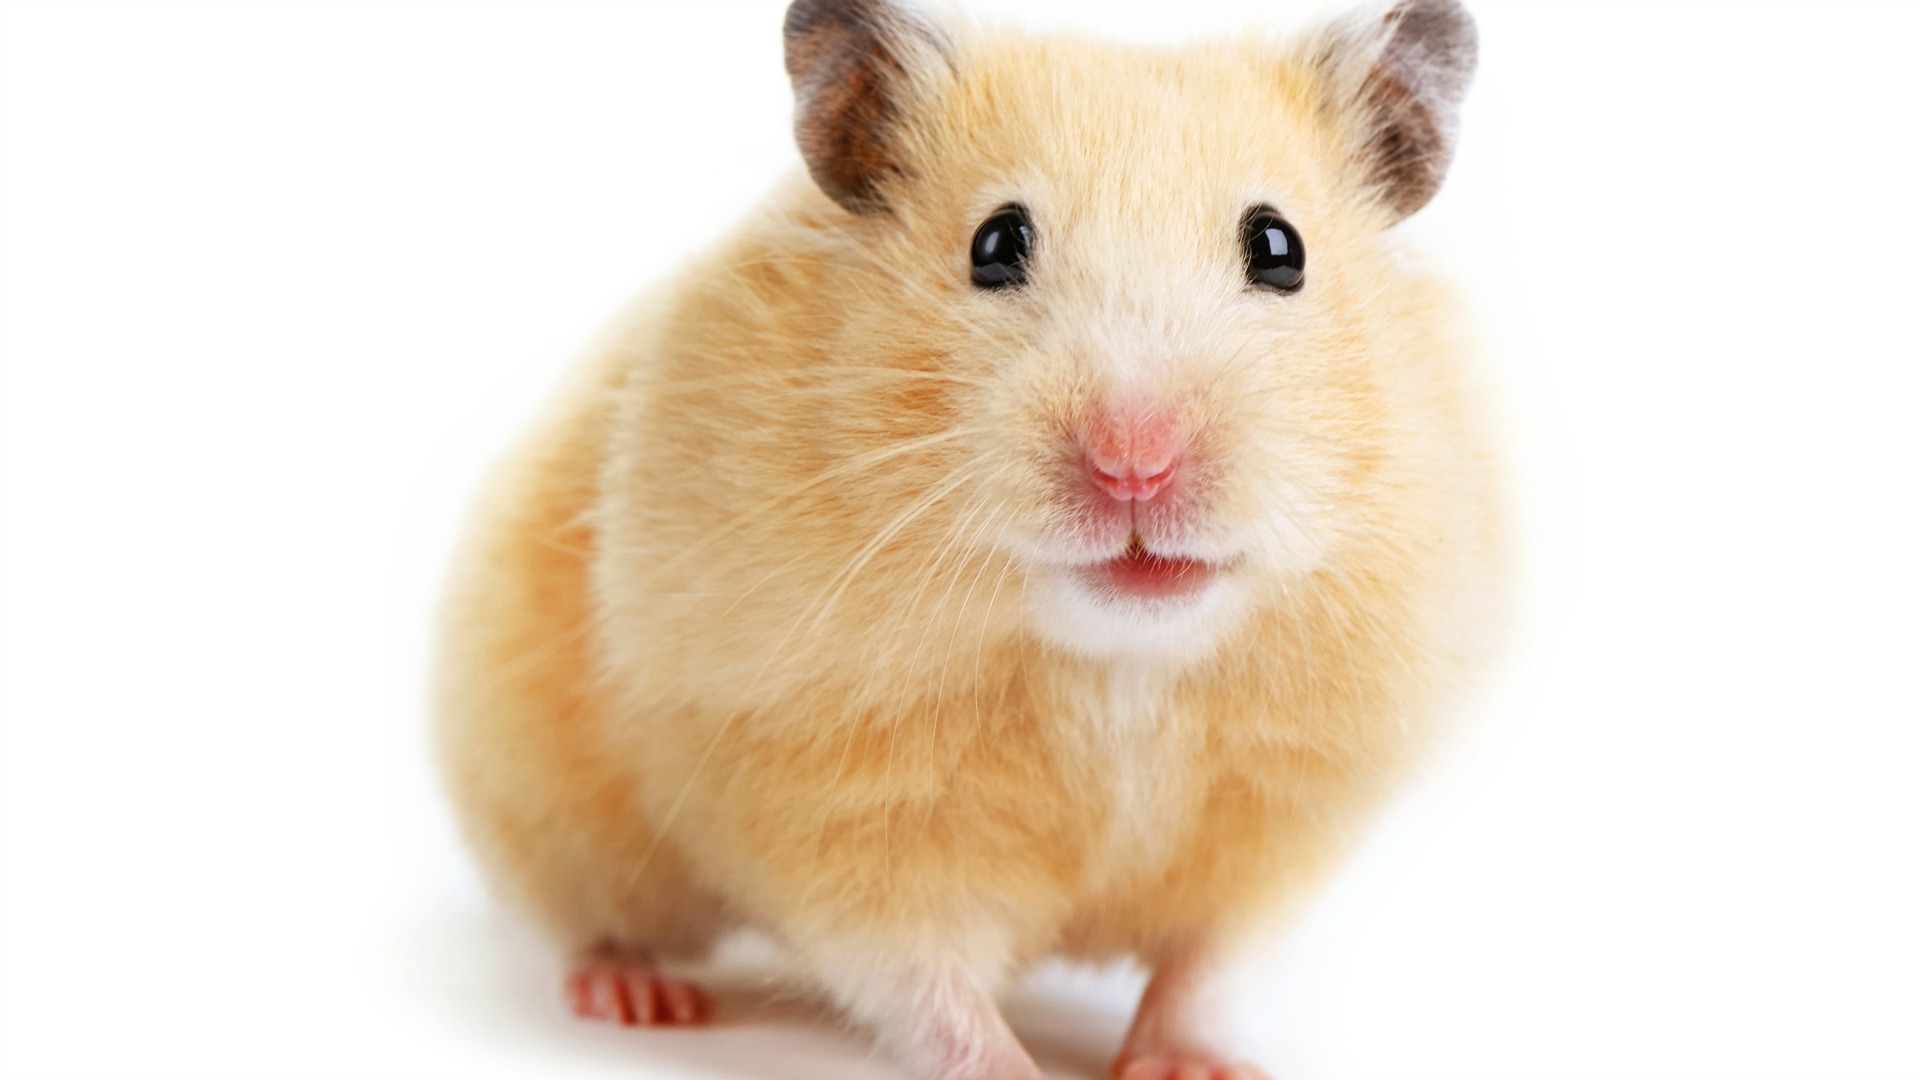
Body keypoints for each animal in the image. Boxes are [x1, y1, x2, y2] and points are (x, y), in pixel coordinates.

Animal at [436, 0, 1501, 1077]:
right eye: (996, 243)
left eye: (1280, 249)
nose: (1134, 462)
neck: (1118, 666)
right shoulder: (836, 817)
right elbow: (925, 983)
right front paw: (1015, 1068)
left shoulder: (1278, 833)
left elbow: (1209, 969)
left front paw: (1198, 1066)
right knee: (590, 921)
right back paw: (634, 996)